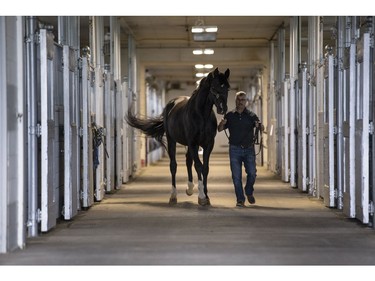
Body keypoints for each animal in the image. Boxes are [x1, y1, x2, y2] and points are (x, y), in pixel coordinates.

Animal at [128, 66, 231, 205]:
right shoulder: (193, 143)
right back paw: (173, 196)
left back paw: (190, 189)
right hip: (172, 140)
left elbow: (205, 168)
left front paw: (206, 195)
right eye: (214, 88)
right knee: (174, 166)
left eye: (227, 88)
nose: (222, 109)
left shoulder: (208, 144)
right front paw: (202, 196)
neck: (201, 116)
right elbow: (198, 166)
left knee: (188, 161)